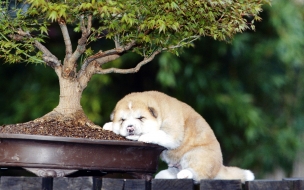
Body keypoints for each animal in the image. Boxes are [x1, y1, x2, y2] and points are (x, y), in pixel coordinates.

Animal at [103, 90, 255, 183]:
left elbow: (158, 133)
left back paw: (185, 174)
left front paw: (144, 137)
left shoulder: (172, 134)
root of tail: (219, 167)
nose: (130, 127)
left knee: (198, 174)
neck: (161, 111)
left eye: (140, 118)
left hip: (195, 155)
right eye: (122, 120)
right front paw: (108, 125)